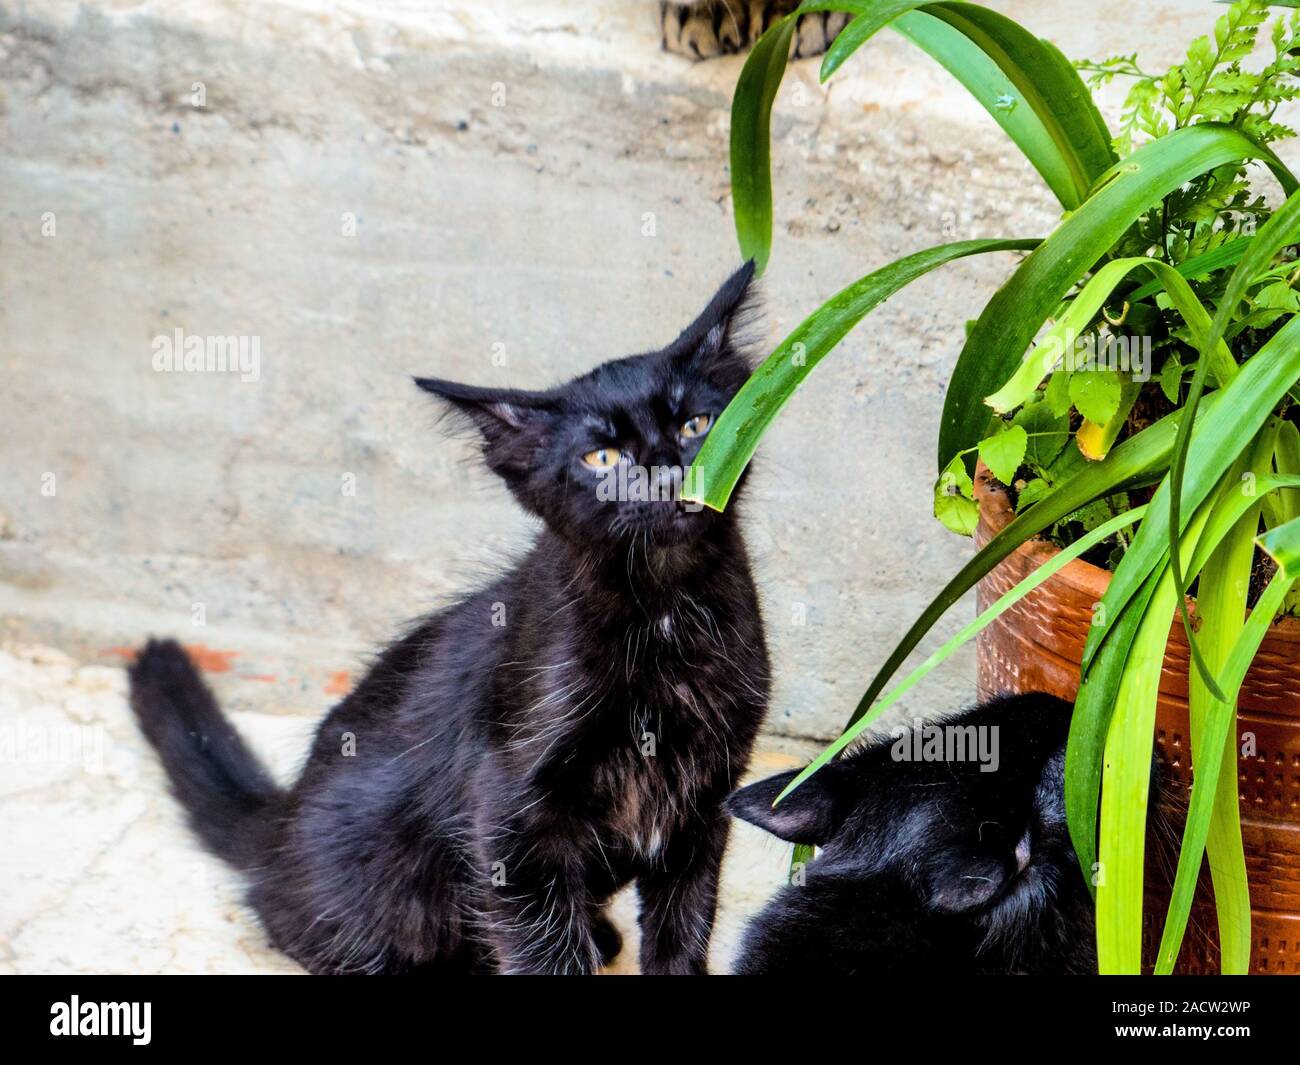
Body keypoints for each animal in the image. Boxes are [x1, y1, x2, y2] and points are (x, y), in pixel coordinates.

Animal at [128, 263, 764, 972]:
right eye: (602, 459)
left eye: (697, 424)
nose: (671, 476)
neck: (664, 607)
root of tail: (281, 821)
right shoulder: (509, 810)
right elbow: (542, 943)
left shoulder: (704, 800)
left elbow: (684, 922)